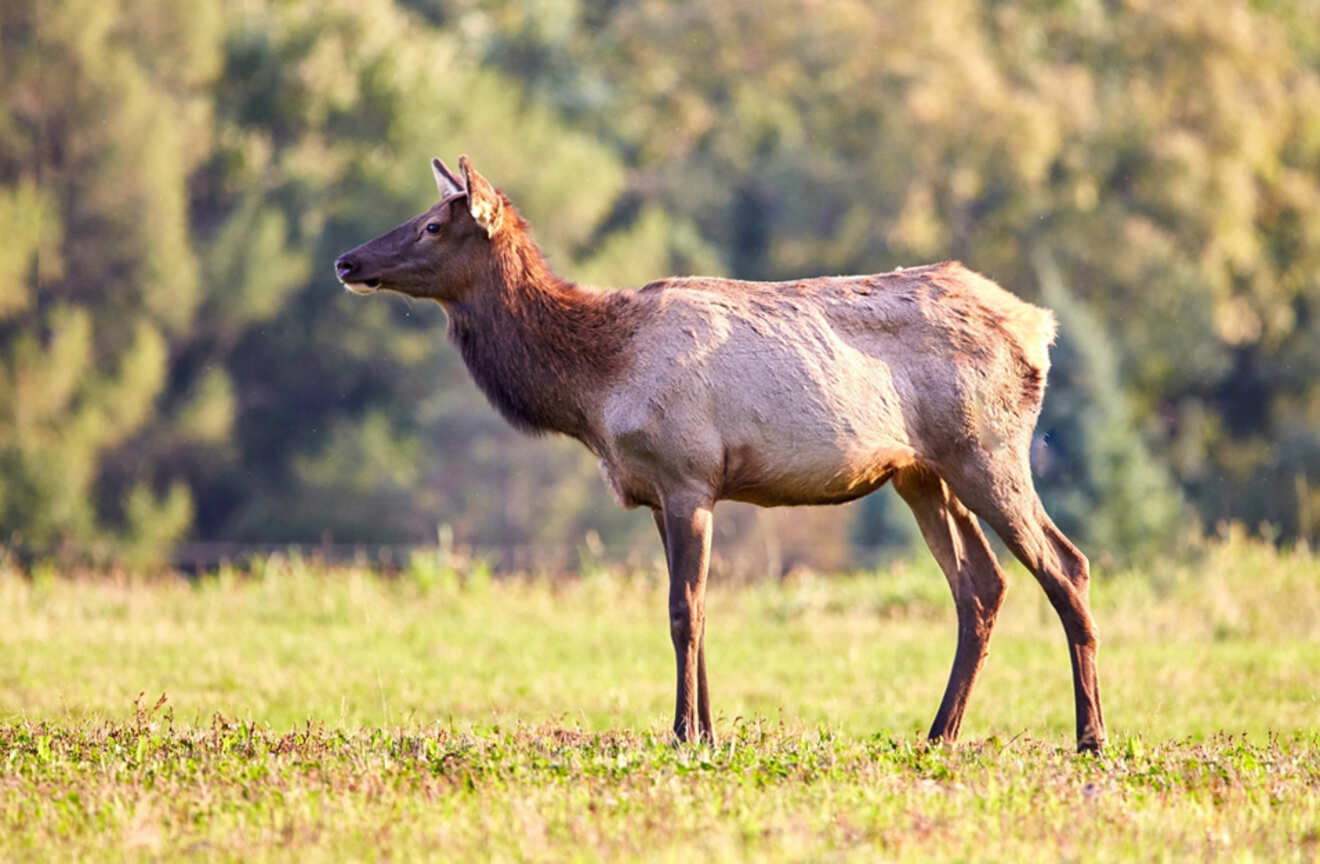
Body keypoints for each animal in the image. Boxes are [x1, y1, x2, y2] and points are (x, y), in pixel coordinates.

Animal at [332, 155, 1103, 749]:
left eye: (432, 225)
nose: (346, 260)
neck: (594, 389)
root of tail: (1041, 327)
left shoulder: (688, 472)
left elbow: (684, 610)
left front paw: (683, 732)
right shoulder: (657, 491)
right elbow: (692, 610)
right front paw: (703, 730)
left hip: (987, 449)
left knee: (1065, 564)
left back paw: (1089, 738)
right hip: (922, 473)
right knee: (982, 585)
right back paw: (940, 734)